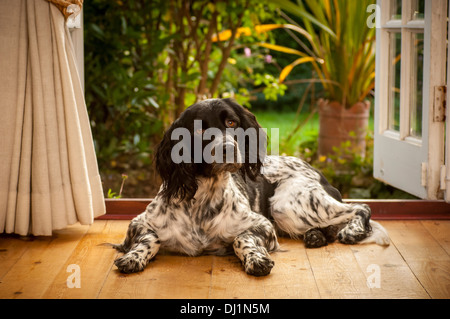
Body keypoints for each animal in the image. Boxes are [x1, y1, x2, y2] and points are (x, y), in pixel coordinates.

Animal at [111, 99, 386, 276]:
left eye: (232, 123)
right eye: (199, 130)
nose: (228, 148)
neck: (203, 200)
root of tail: (319, 173)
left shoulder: (262, 225)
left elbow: (240, 239)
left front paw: (256, 259)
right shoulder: (138, 224)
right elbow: (149, 238)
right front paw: (133, 257)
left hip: (287, 204)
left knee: (360, 207)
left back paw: (351, 231)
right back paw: (316, 236)